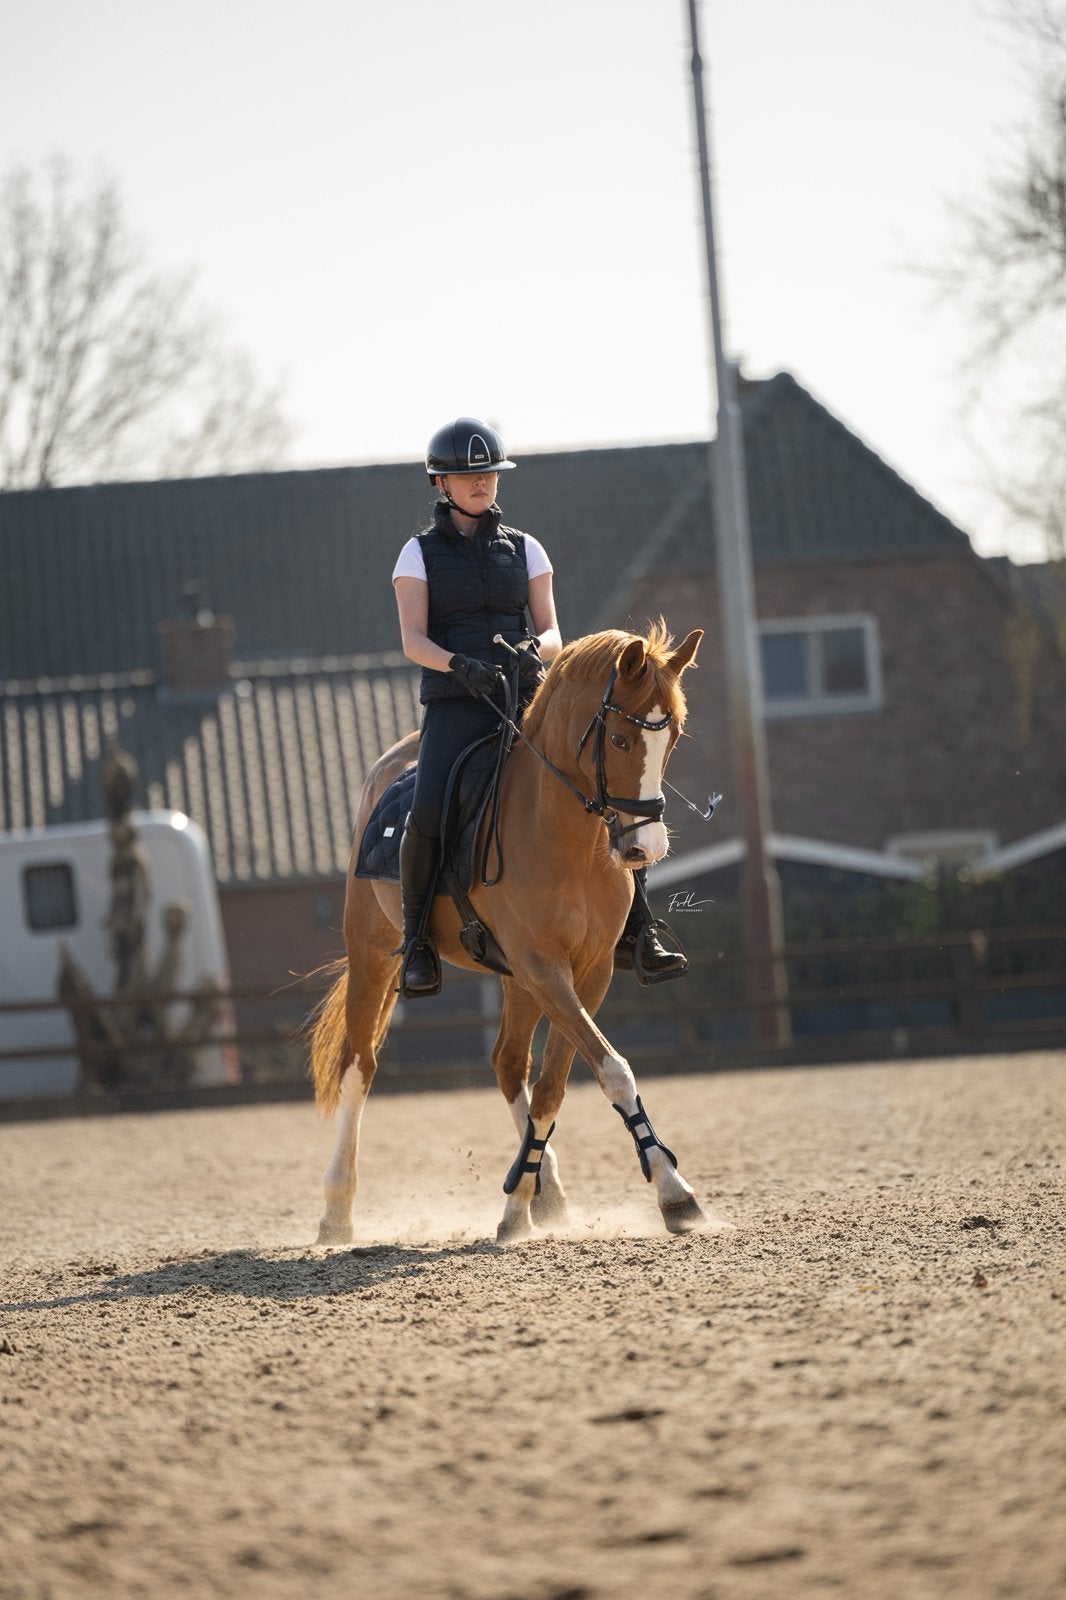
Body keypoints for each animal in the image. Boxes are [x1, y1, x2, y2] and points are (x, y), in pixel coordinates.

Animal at [308, 621, 706, 1246]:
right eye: (620, 740)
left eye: (674, 738)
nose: (646, 847)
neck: (566, 839)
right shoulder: (544, 966)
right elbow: (613, 1070)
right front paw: (674, 1192)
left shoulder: (586, 973)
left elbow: (556, 1084)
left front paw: (522, 1202)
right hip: (373, 954)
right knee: (358, 1067)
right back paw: (336, 1211)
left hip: (514, 978)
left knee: (507, 1062)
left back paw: (548, 1194)